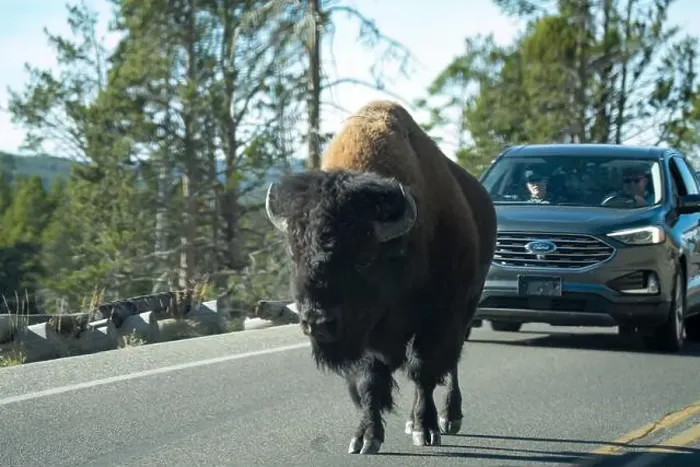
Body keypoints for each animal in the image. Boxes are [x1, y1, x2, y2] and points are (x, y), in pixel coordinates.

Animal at [265, 100, 497, 454]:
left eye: (364, 259)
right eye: (294, 254)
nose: (318, 322)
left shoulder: (440, 316)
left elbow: (423, 370)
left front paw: (426, 429)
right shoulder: (364, 336)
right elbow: (369, 382)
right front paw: (365, 438)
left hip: (468, 307)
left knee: (452, 363)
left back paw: (449, 417)